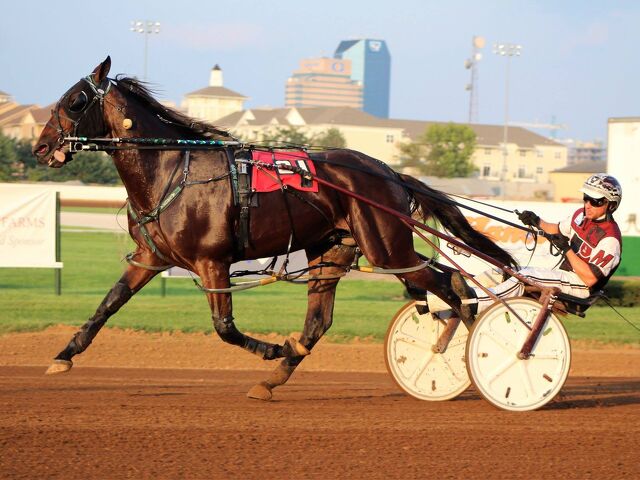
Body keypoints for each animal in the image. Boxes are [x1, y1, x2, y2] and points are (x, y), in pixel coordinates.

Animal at [33, 57, 517, 400]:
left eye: (76, 100)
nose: (40, 146)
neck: (172, 170)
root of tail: (389, 172)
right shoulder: (149, 258)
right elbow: (106, 306)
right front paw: (62, 356)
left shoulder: (212, 261)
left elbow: (225, 328)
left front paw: (272, 347)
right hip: (336, 250)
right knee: (324, 321)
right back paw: (274, 379)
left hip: (386, 248)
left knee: (451, 283)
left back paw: (473, 351)